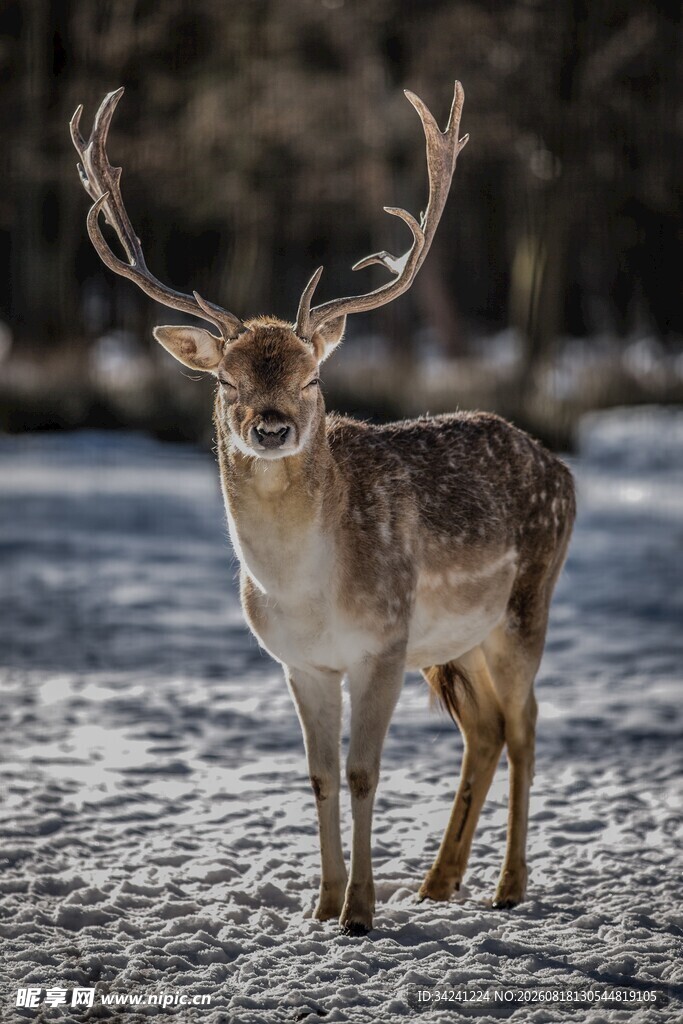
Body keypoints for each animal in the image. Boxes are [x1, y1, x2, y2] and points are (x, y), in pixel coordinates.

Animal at [70, 82, 575, 936]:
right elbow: (318, 775)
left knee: (526, 727)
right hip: (454, 641)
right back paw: (437, 883)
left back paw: (507, 887)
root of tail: (561, 468)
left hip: (522, 607)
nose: (271, 425)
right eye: (226, 381)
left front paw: (360, 912)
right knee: (484, 731)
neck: (306, 590)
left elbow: (365, 771)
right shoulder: (299, 662)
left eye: (311, 377)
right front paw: (322, 903)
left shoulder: (381, 644)